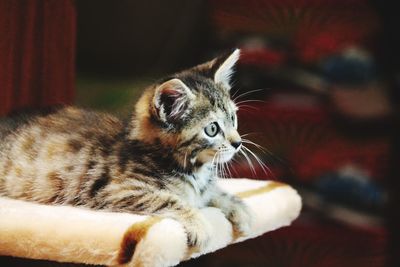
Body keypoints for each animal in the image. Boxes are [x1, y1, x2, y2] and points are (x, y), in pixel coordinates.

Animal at [0, 49, 253, 250]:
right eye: (212, 129)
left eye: (233, 118)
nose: (237, 142)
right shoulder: (116, 190)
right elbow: (169, 199)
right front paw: (199, 224)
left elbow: (213, 193)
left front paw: (240, 210)